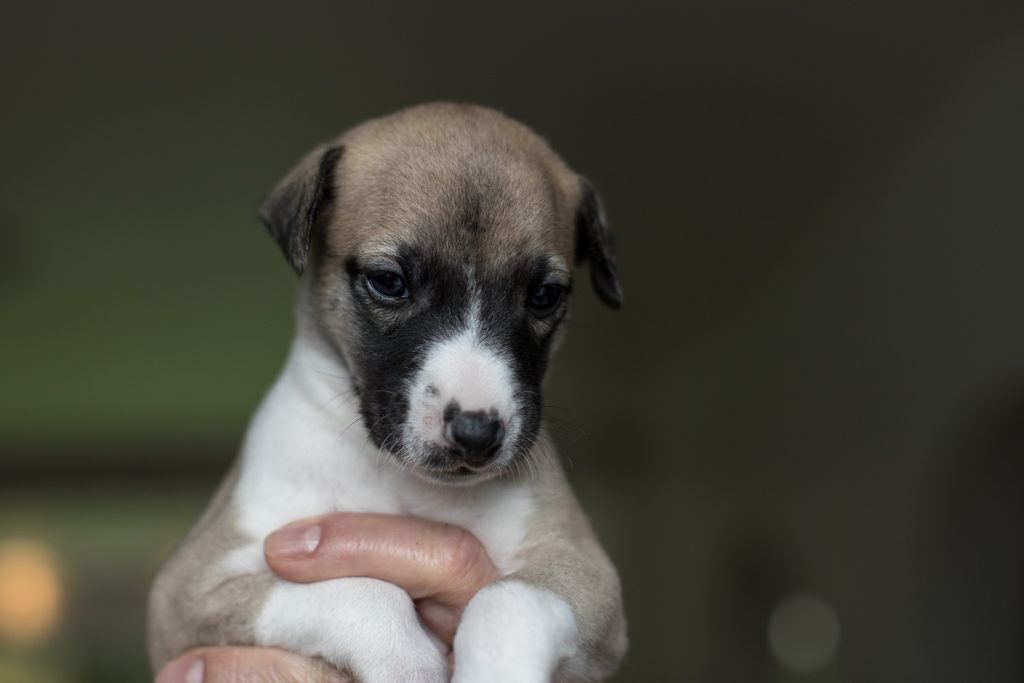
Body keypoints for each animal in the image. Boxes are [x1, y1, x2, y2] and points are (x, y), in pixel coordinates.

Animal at [148, 102, 626, 683]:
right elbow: (362, 590)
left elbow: (510, 600)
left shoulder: (589, 577)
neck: (402, 484)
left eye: (544, 296)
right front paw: (404, 660)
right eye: (389, 282)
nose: (476, 433)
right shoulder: (189, 586)